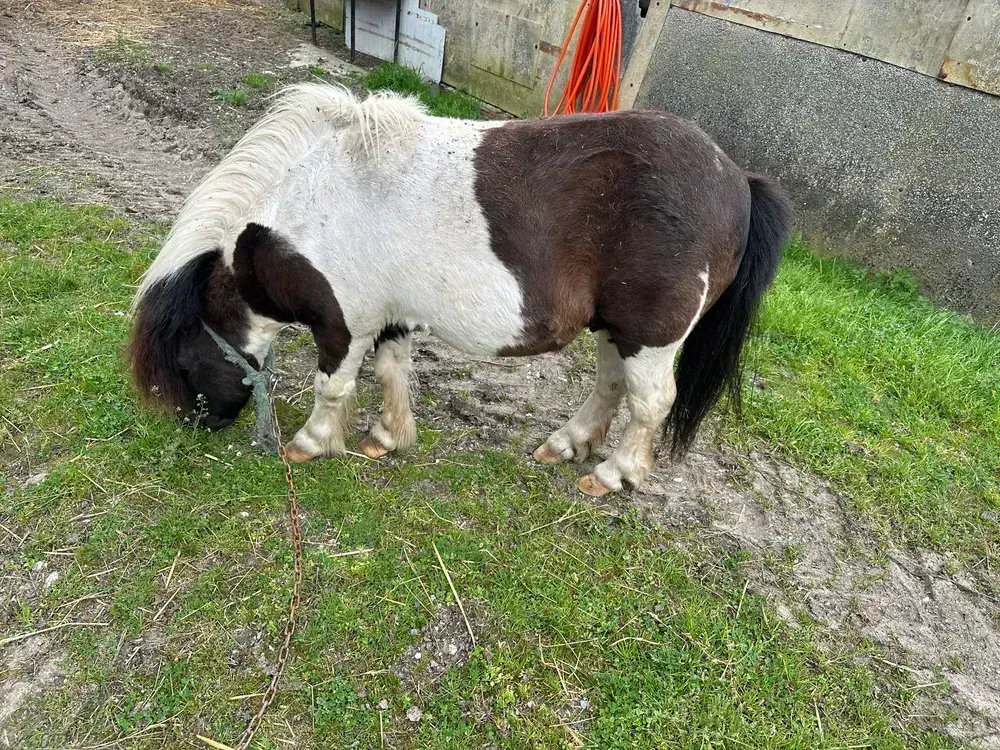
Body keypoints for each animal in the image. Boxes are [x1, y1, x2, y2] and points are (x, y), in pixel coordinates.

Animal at [128, 83, 793, 497]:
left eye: (182, 359)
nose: (200, 425)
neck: (311, 206)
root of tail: (736, 178)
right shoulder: (392, 318)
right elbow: (391, 372)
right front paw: (387, 437)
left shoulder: (344, 324)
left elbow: (333, 386)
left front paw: (312, 443)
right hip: (616, 328)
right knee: (609, 387)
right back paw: (566, 444)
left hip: (649, 337)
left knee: (650, 403)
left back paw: (611, 475)